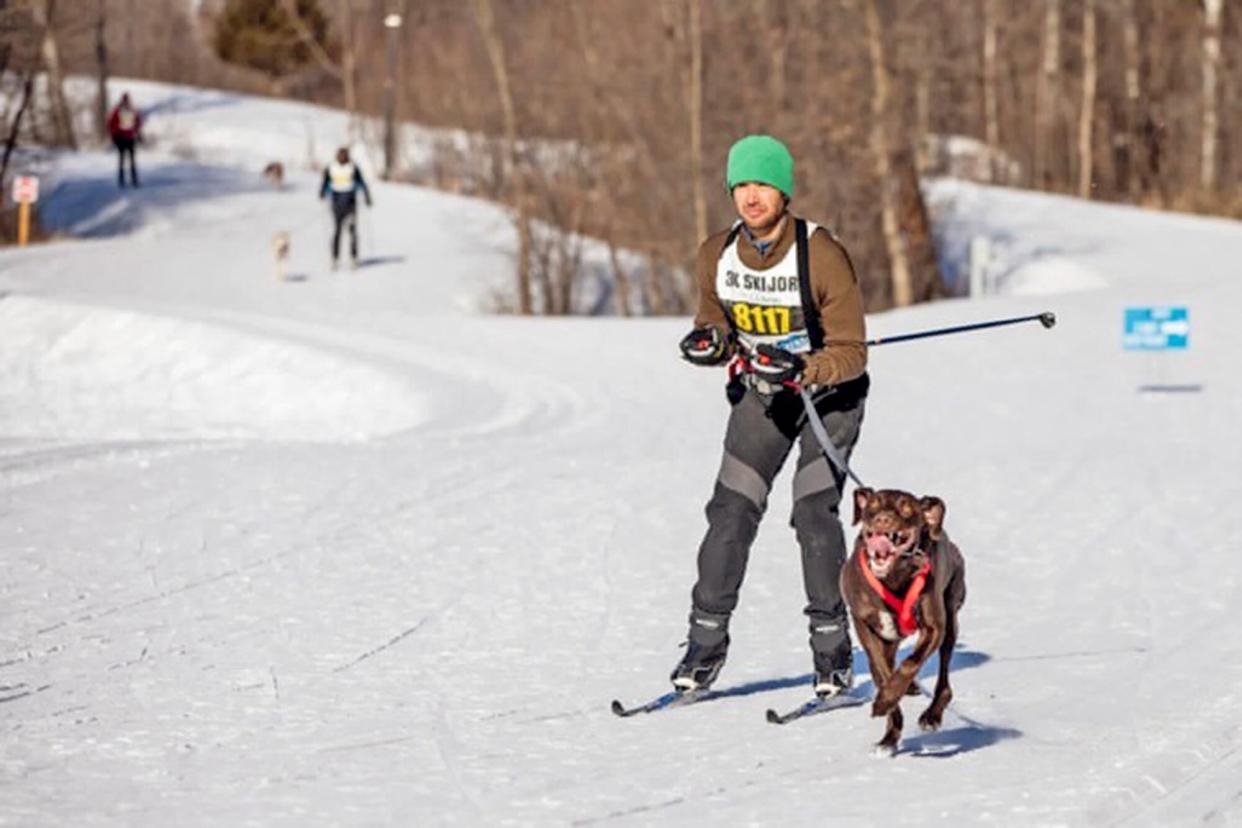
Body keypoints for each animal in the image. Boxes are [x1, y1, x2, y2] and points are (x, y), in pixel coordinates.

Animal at [834, 486, 968, 759]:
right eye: (873, 504)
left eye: (906, 508)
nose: (883, 519)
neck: (892, 578)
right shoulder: (865, 625)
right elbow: (882, 672)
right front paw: (888, 722)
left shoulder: (934, 627)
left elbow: (909, 664)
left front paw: (887, 698)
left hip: (951, 617)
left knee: (944, 678)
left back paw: (932, 715)